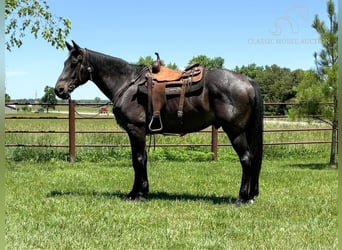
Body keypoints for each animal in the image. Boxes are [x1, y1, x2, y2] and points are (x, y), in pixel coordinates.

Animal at [55, 40, 264, 205]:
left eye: (74, 63)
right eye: (65, 62)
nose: (59, 89)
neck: (127, 84)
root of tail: (247, 80)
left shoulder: (136, 130)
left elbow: (138, 160)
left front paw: (139, 194)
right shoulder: (138, 133)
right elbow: (141, 159)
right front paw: (137, 192)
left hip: (235, 132)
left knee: (246, 159)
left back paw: (241, 198)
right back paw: (249, 196)